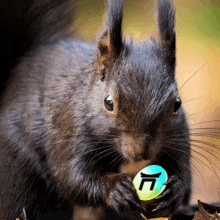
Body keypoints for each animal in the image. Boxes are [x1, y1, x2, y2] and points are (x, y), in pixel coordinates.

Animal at [0, 0, 191, 220]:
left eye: (177, 103)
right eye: (108, 102)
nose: (141, 152)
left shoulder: (179, 137)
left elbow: (184, 171)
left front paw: (175, 191)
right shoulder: (68, 130)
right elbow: (71, 175)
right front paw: (115, 189)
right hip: (18, 173)